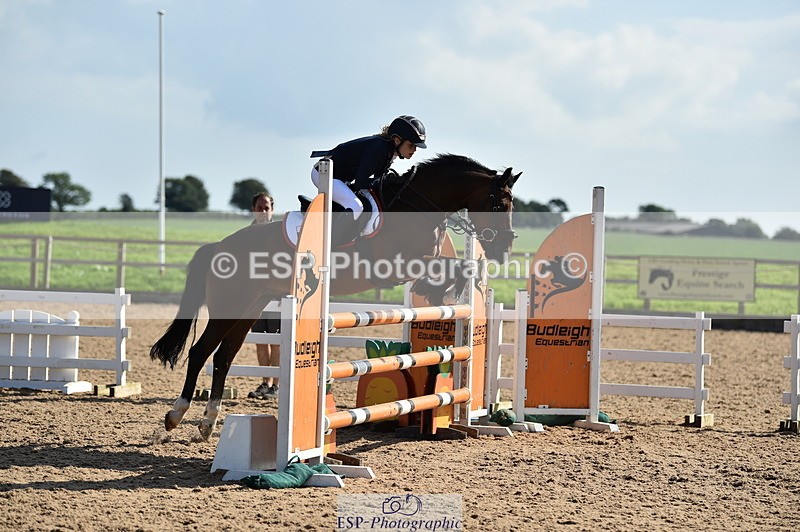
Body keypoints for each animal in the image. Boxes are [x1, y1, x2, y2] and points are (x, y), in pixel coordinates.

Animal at [150, 153, 521, 440]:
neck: (417, 206)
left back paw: (208, 424)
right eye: (500, 203)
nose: (504, 249)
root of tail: (219, 247)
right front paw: (438, 290)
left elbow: (458, 266)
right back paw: (176, 416)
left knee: (223, 357)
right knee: (200, 352)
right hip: (231, 305)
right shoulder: (399, 264)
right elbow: (453, 266)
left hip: (249, 308)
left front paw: (441, 291)